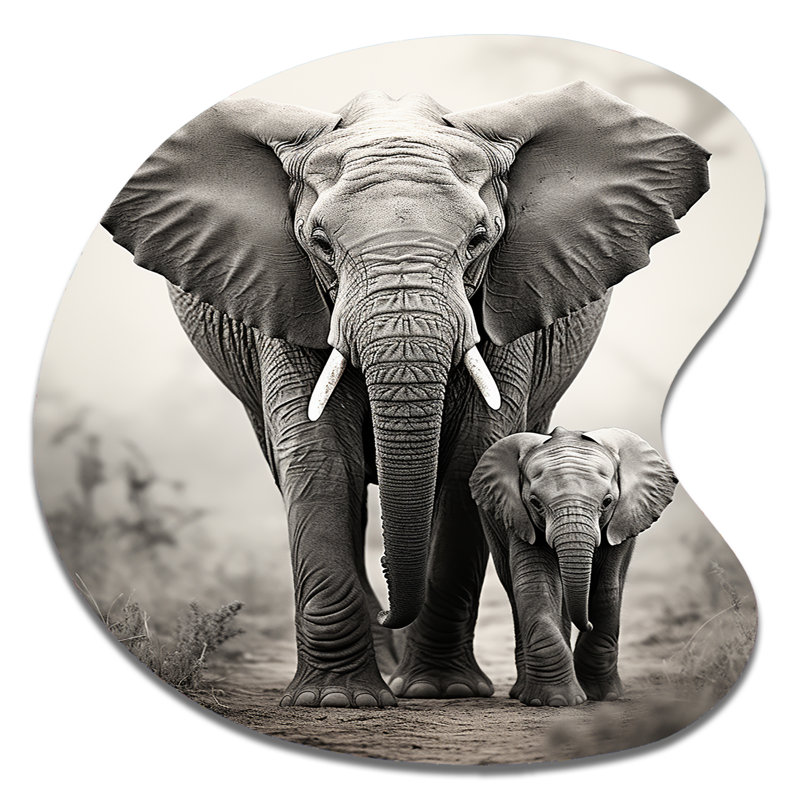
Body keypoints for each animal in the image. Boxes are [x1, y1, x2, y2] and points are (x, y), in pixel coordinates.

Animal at [469, 426, 677, 707]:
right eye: (535, 503)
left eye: (607, 502)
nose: (586, 624)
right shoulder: (521, 521)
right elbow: (538, 587)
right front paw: (555, 700)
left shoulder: (621, 522)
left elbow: (606, 590)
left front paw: (604, 696)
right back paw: (522, 693)